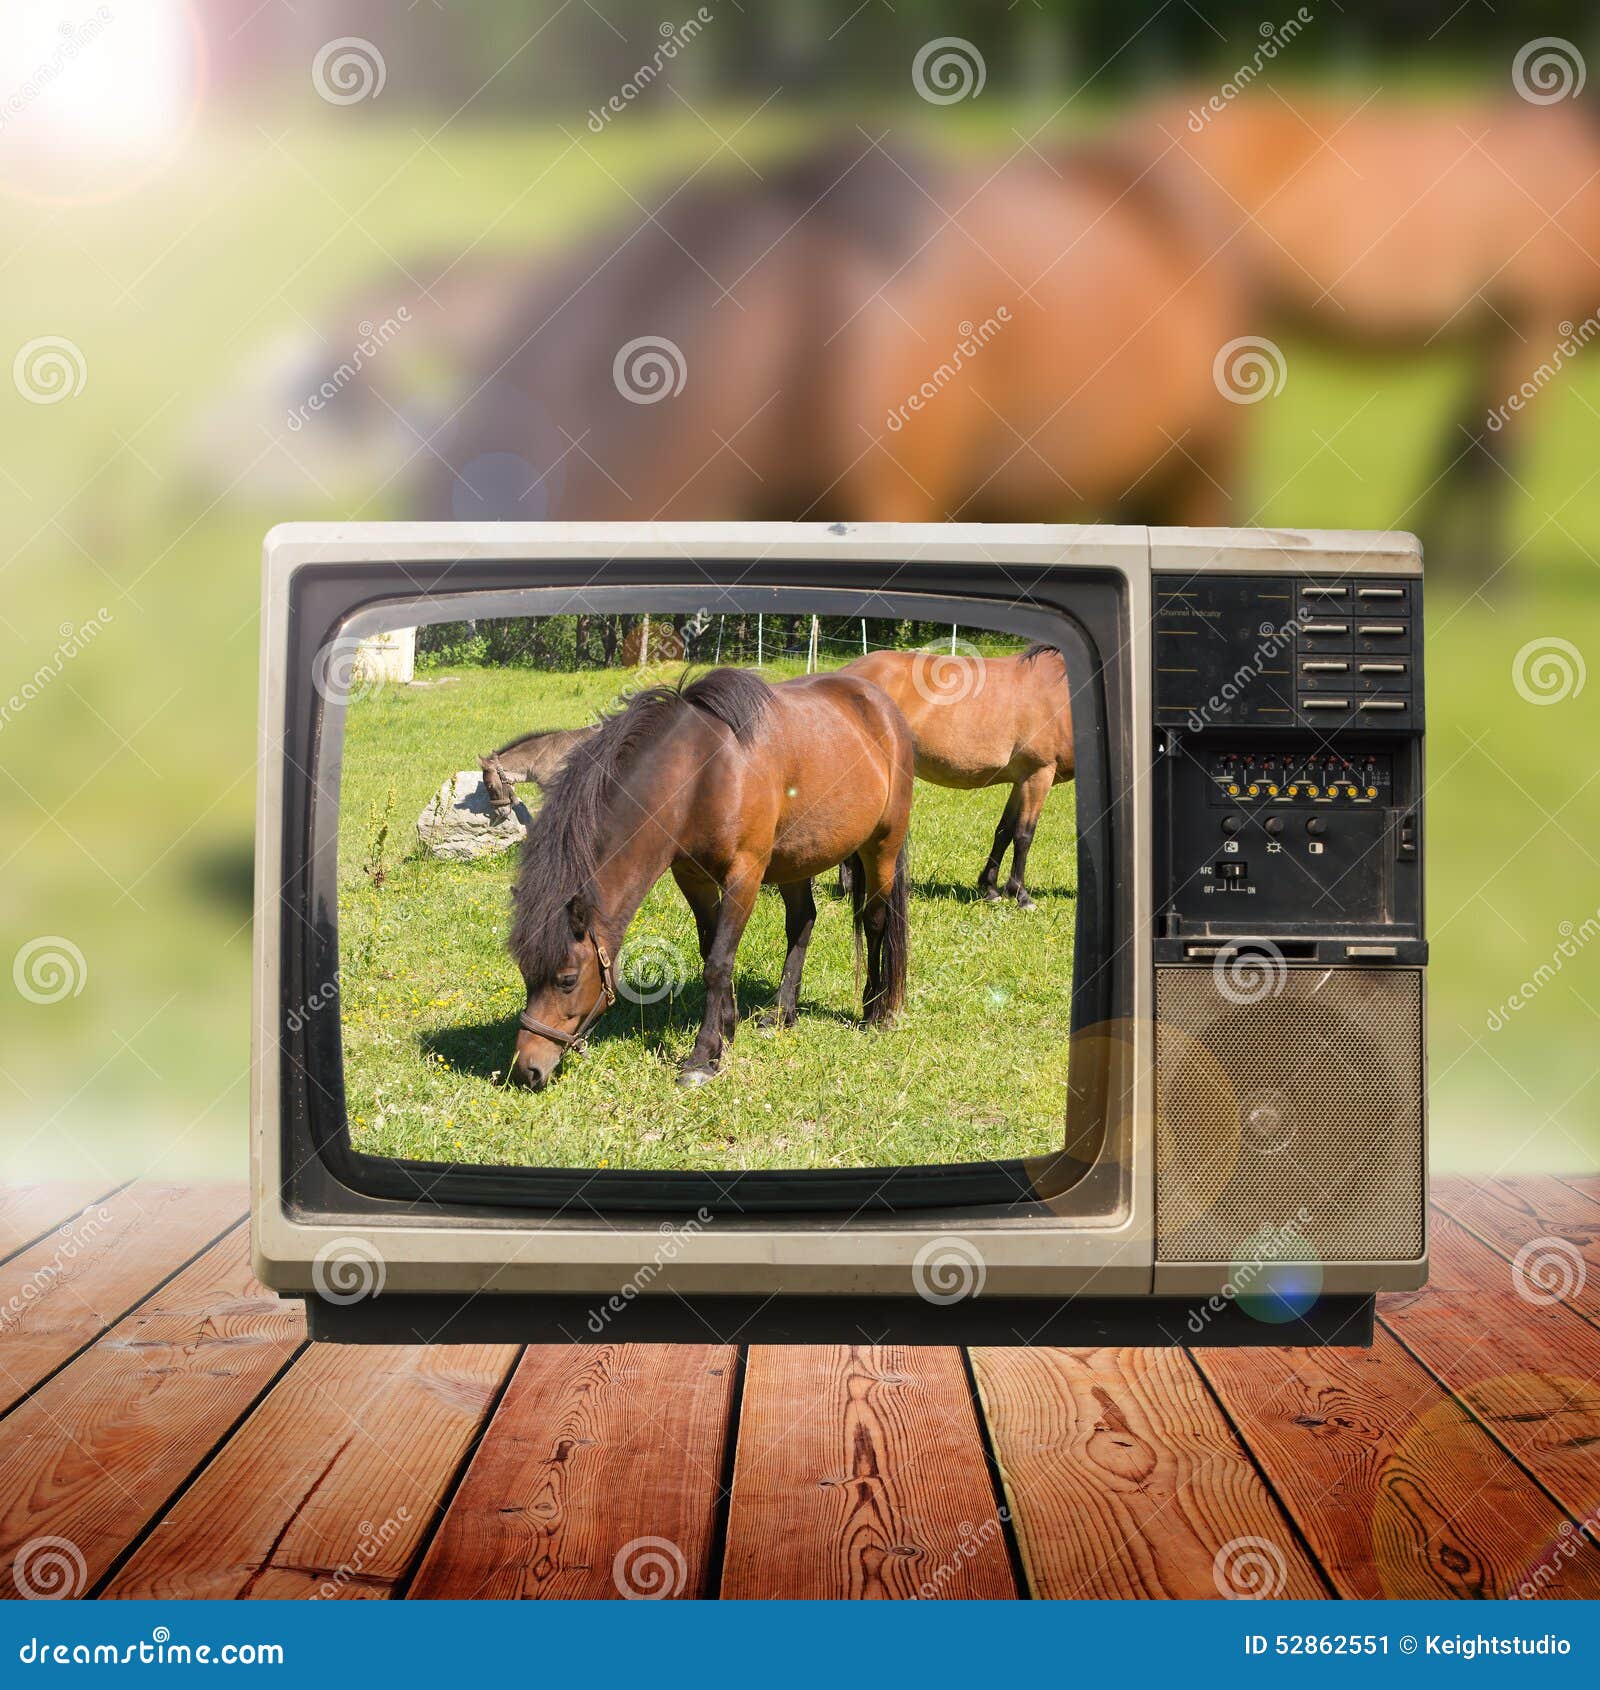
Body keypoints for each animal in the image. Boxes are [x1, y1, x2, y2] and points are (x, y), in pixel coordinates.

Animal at [507, 667, 913, 1090]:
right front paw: (726, 1030)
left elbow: (718, 962)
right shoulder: (692, 878)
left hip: (881, 849)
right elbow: (710, 949)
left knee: (875, 922)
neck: (702, 772)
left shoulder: (744, 876)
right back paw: (782, 1015)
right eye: (524, 972)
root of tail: (882, 707)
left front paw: (703, 1057)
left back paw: (875, 1010)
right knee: (802, 922)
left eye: (567, 979)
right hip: (796, 860)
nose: (527, 1069)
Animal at [840, 645, 1073, 910]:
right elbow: (1024, 835)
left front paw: (990, 888)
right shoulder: (1038, 774)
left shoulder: (1020, 781)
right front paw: (1021, 895)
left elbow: (1004, 832)